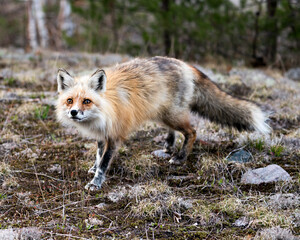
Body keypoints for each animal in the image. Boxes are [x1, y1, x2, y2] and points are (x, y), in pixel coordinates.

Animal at [55, 56, 270, 191]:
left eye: (86, 101)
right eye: (70, 101)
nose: (73, 112)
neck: (105, 109)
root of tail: (185, 64)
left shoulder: (115, 135)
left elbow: (104, 162)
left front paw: (96, 182)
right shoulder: (102, 135)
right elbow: (99, 156)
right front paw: (94, 168)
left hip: (172, 115)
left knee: (192, 131)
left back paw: (180, 157)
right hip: (161, 114)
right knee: (174, 131)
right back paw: (168, 145)